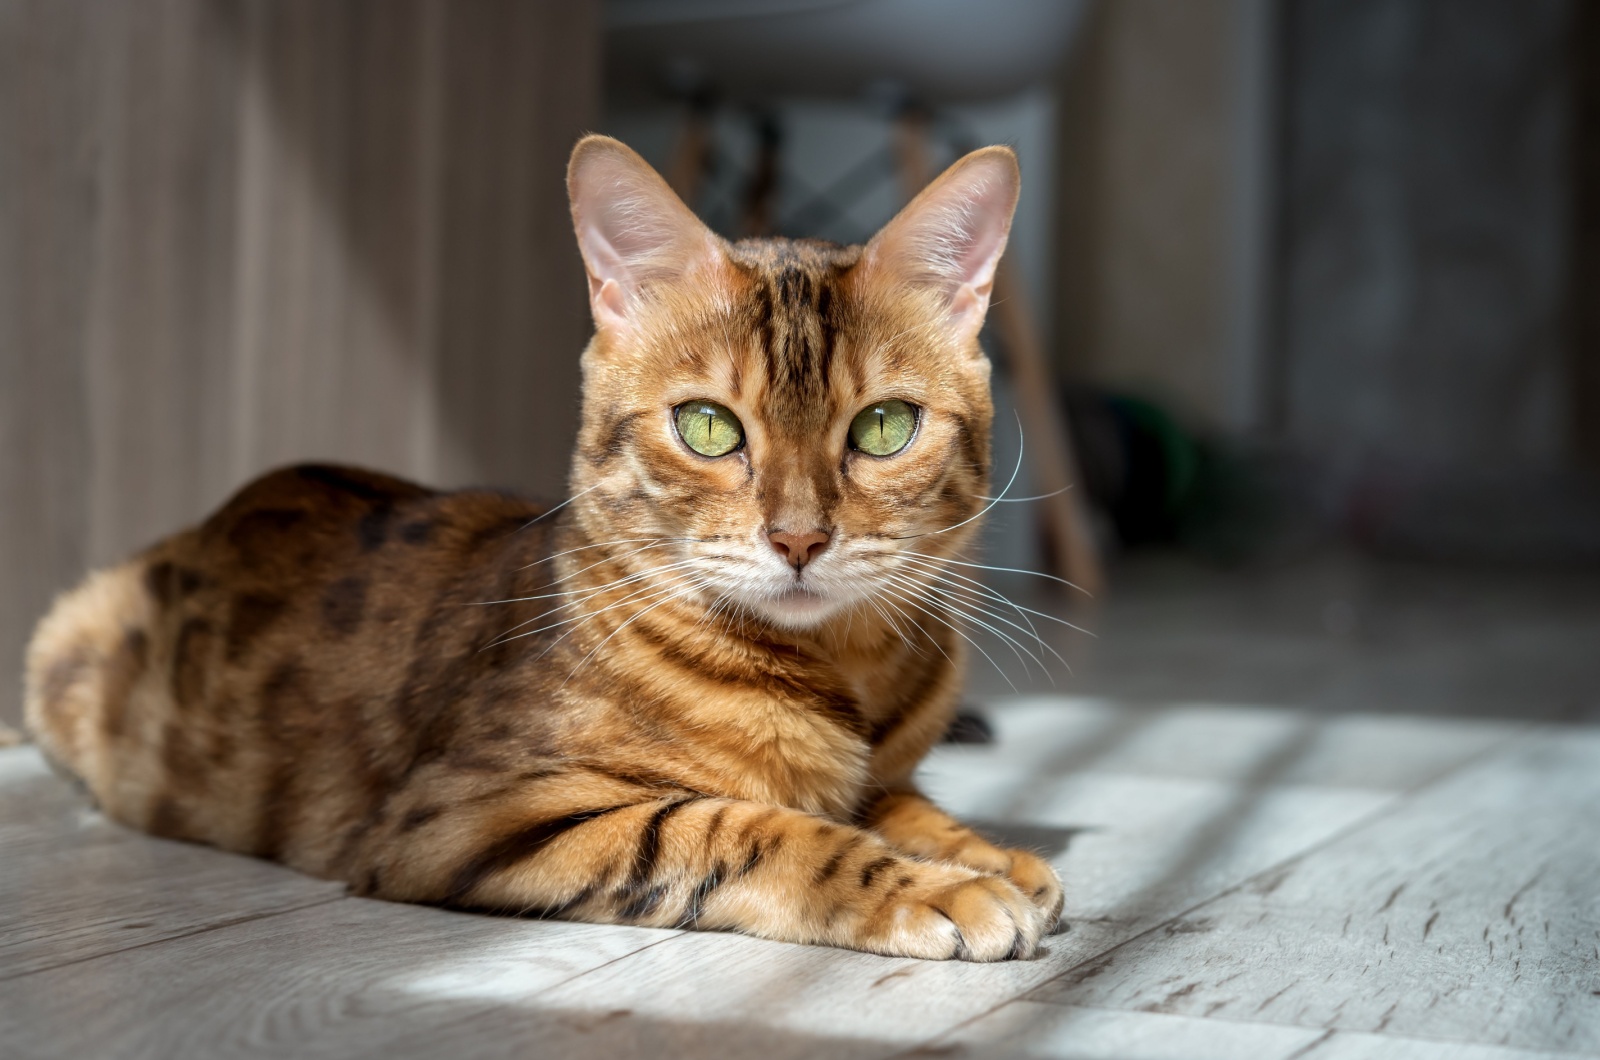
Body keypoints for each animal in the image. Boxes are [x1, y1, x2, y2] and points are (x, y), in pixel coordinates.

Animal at [25, 132, 1062, 960]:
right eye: (709, 428)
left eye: (885, 428)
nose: (799, 538)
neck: (842, 673)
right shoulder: (475, 814)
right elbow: (748, 826)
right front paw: (941, 886)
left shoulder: (888, 770)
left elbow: (905, 803)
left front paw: (982, 850)